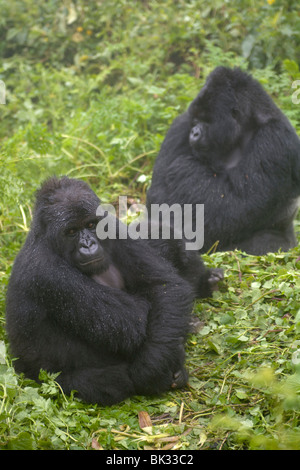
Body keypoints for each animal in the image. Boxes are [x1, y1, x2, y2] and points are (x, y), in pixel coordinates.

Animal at [5, 177, 220, 408]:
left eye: (91, 225)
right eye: (71, 232)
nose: (88, 244)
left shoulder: (113, 227)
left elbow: (164, 285)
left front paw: (155, 362)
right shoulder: (47, 272)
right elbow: (133, 322)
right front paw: (152, 371)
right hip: (44, 378)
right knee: (110, 382)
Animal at [146, 66, 300, 253]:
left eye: (206, 120)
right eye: (196, 120)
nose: (194, 132)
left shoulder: (275, 139)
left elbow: (237, 206)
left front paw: (186, 169)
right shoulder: (180, 125)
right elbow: (159, 198)